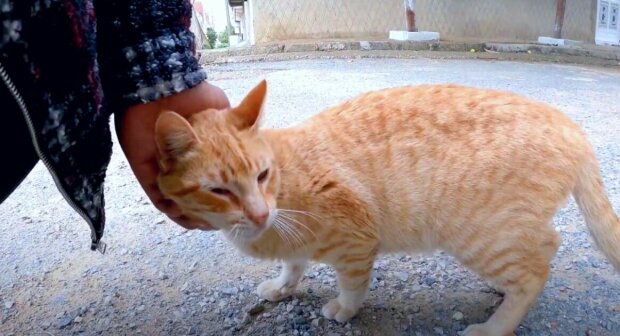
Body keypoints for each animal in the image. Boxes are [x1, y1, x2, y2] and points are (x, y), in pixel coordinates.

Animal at [155, 80, 620, 334]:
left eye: (263, 175)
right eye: (219, 190)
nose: (258, 214)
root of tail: (571, 126)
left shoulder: (356, 239)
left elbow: (353, 284)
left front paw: (344, 310)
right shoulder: (294, 241)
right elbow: (293, 264)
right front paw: (283, 286)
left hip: (481, 236)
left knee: (537, 268)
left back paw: (495, 327)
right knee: (547, 245)